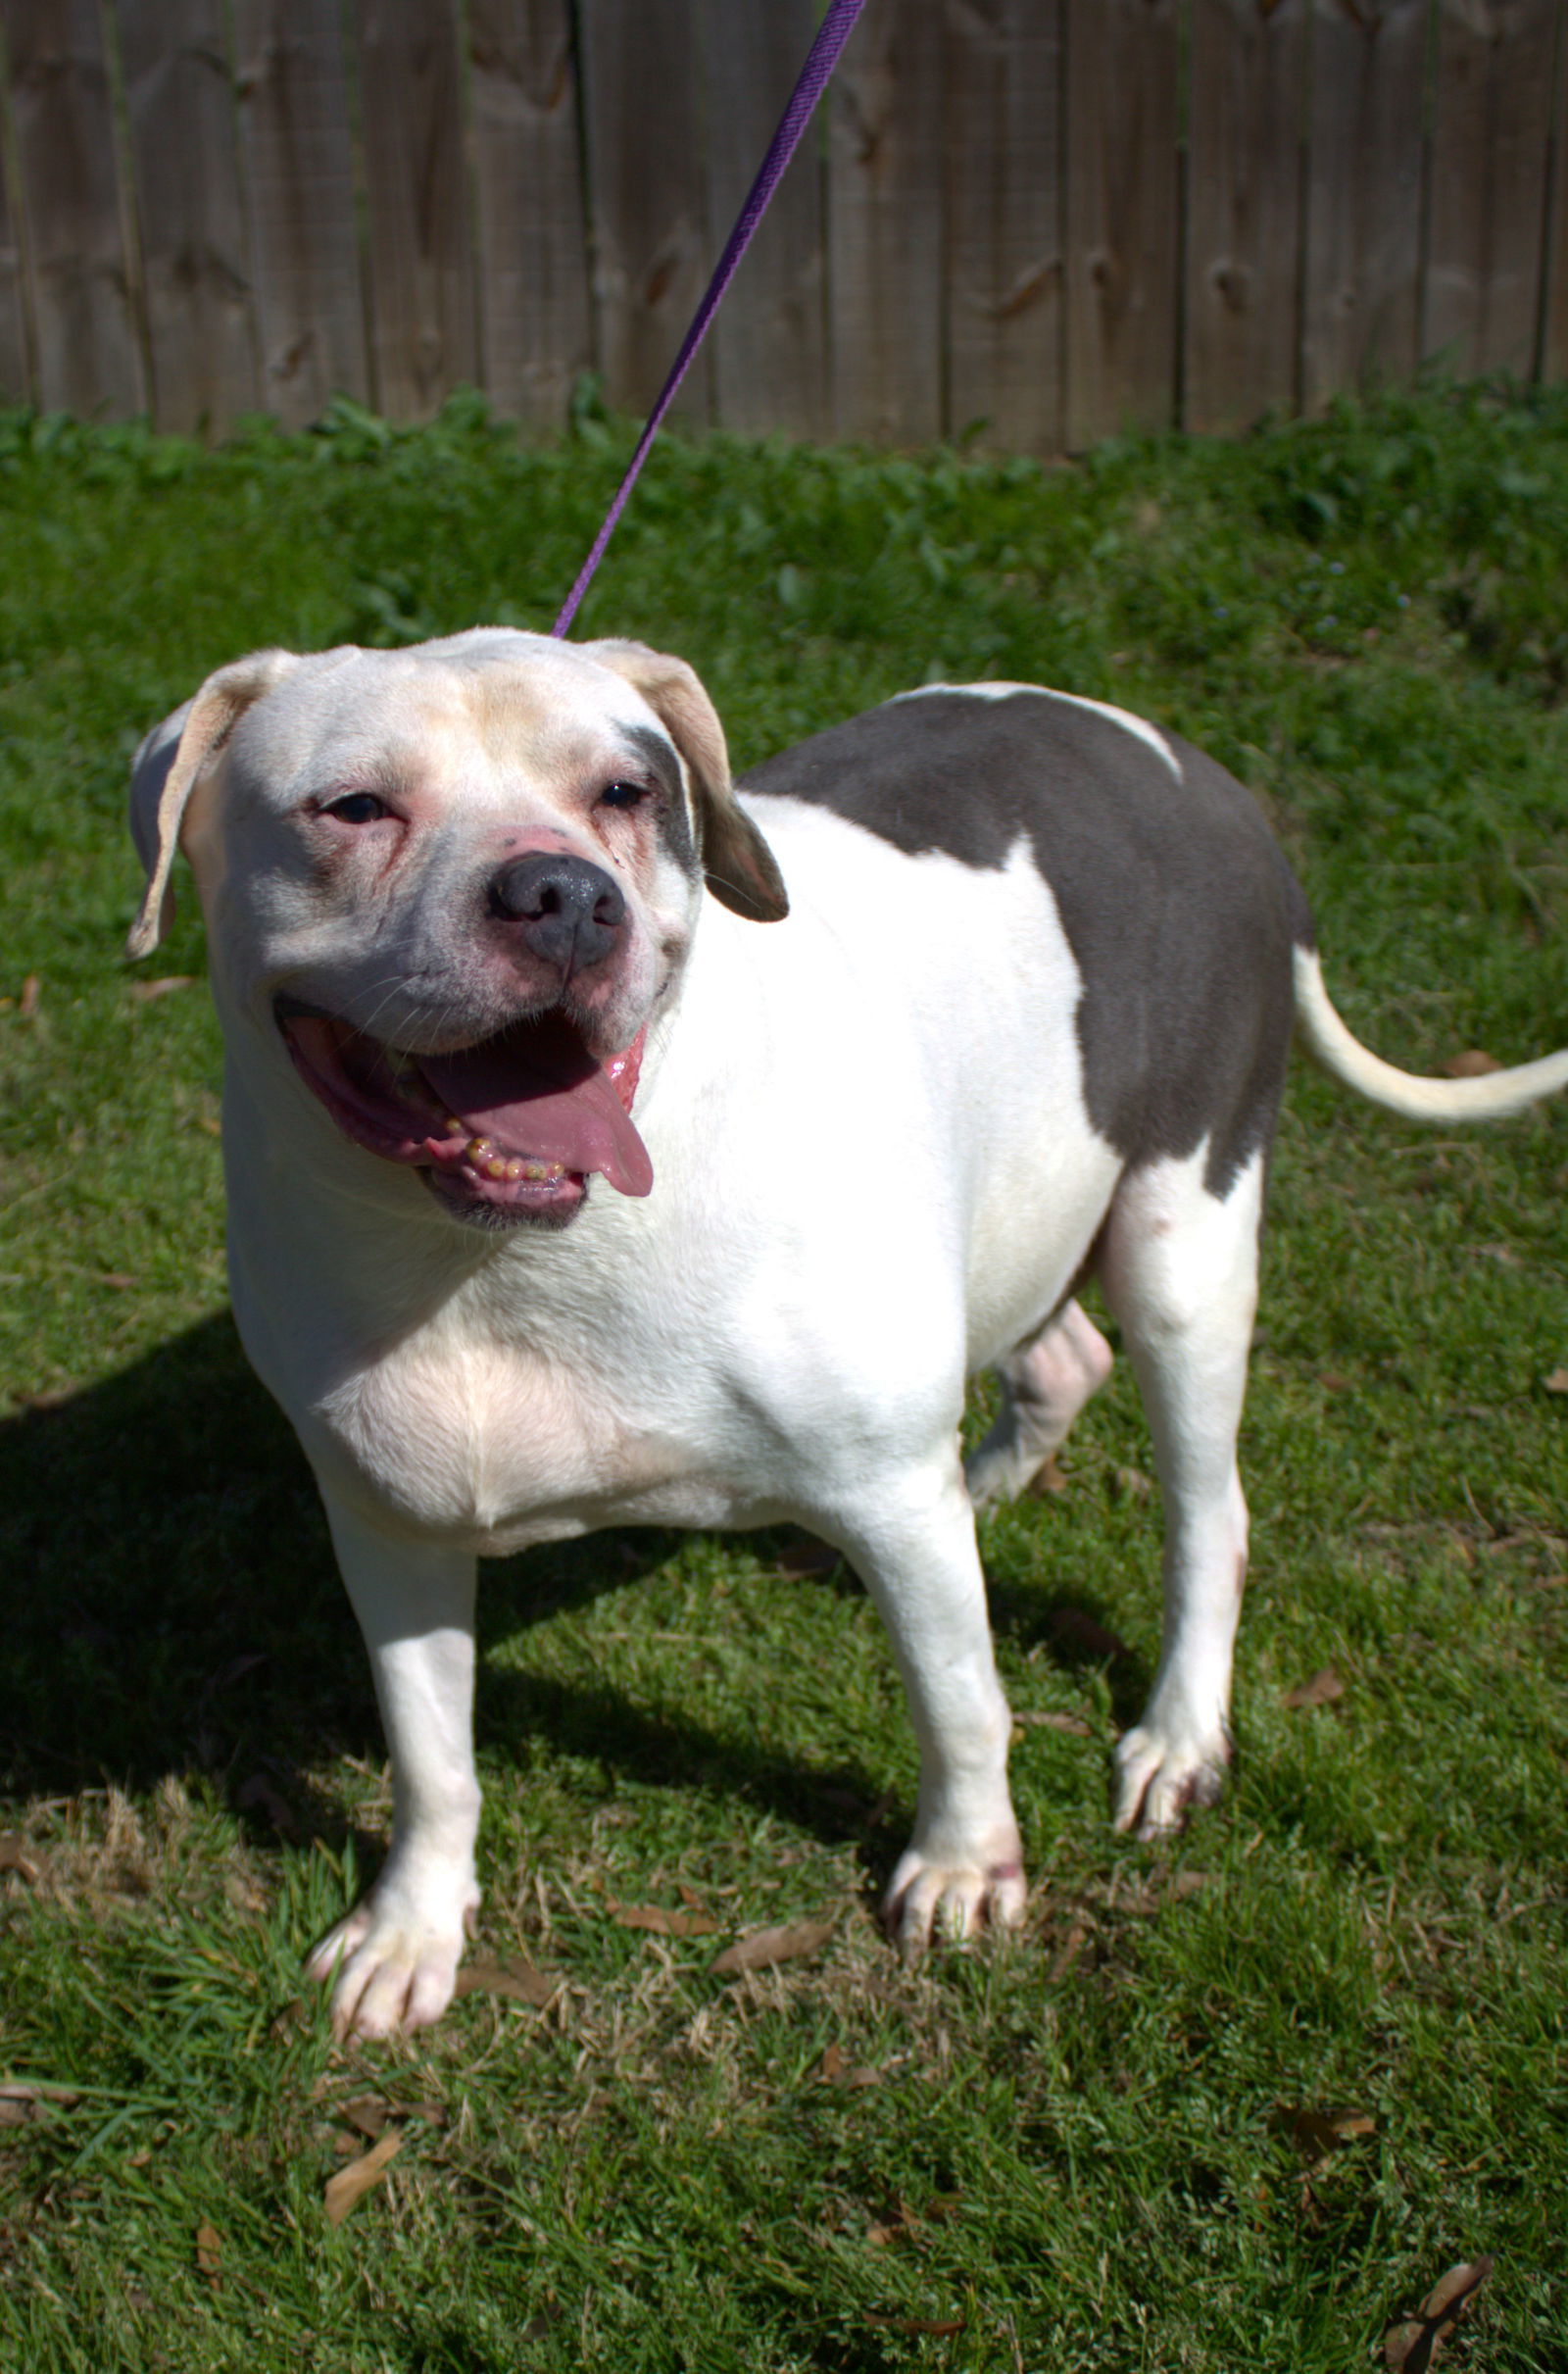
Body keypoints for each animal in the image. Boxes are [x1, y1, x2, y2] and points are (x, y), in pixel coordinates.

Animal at [124, 636, 1565, 2041]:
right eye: (355, 806)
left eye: (623, 791)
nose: (562, 895)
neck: (501, 1261)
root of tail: (1197, 771)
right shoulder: (393, 1524)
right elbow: (432, 1759)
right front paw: (411, 1930)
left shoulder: (884, 1490)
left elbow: (960, 1698)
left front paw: (966, 1865)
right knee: (1061, 1363)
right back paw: (997, 1487)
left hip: (1183, 1244)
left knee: (1207, 1509)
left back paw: (1176, 1734)